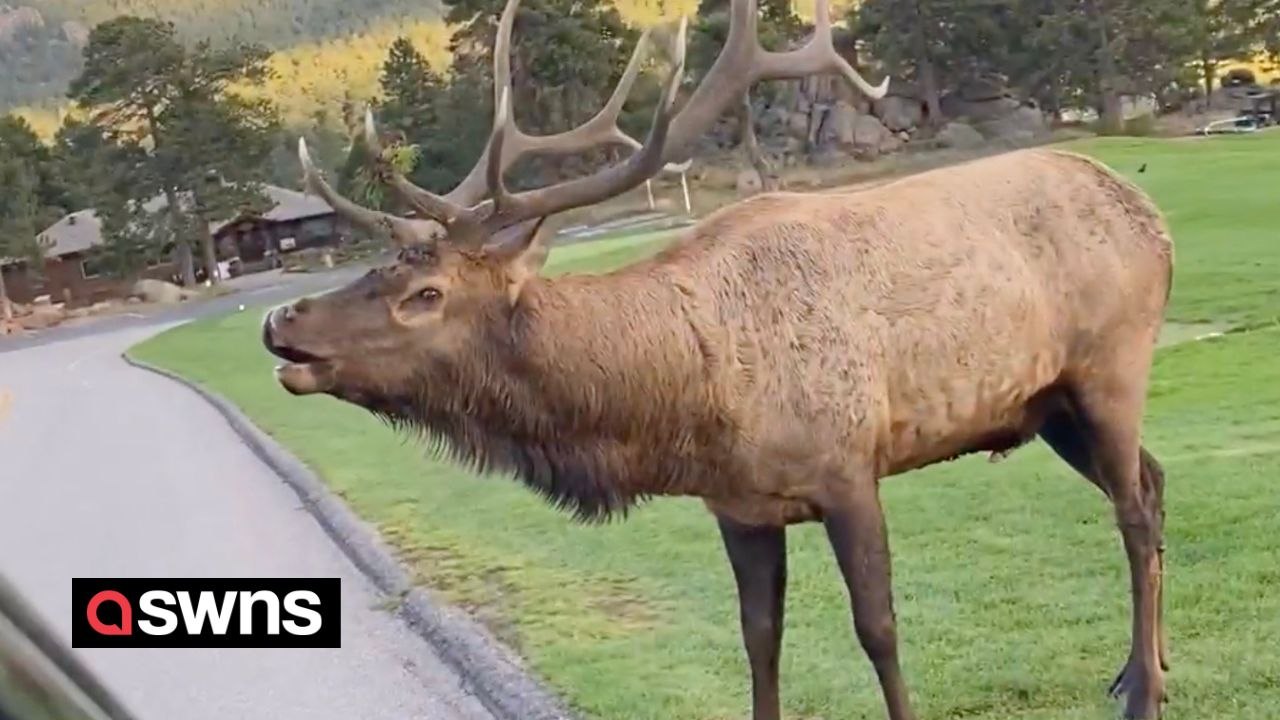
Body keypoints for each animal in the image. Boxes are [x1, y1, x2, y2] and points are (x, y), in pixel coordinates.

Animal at [261, 0, 1174, 717]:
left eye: (427, 293)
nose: (280, 319)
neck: (689, 403)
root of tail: (1151, 212)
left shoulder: (849, 466)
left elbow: (877, 629)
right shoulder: (737, 507)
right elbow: (759, 639)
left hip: (1112, 363)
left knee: (1131, 510)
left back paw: (1145, 695)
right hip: (1047, 405)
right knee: (1154, 483)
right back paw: (1144, 668)